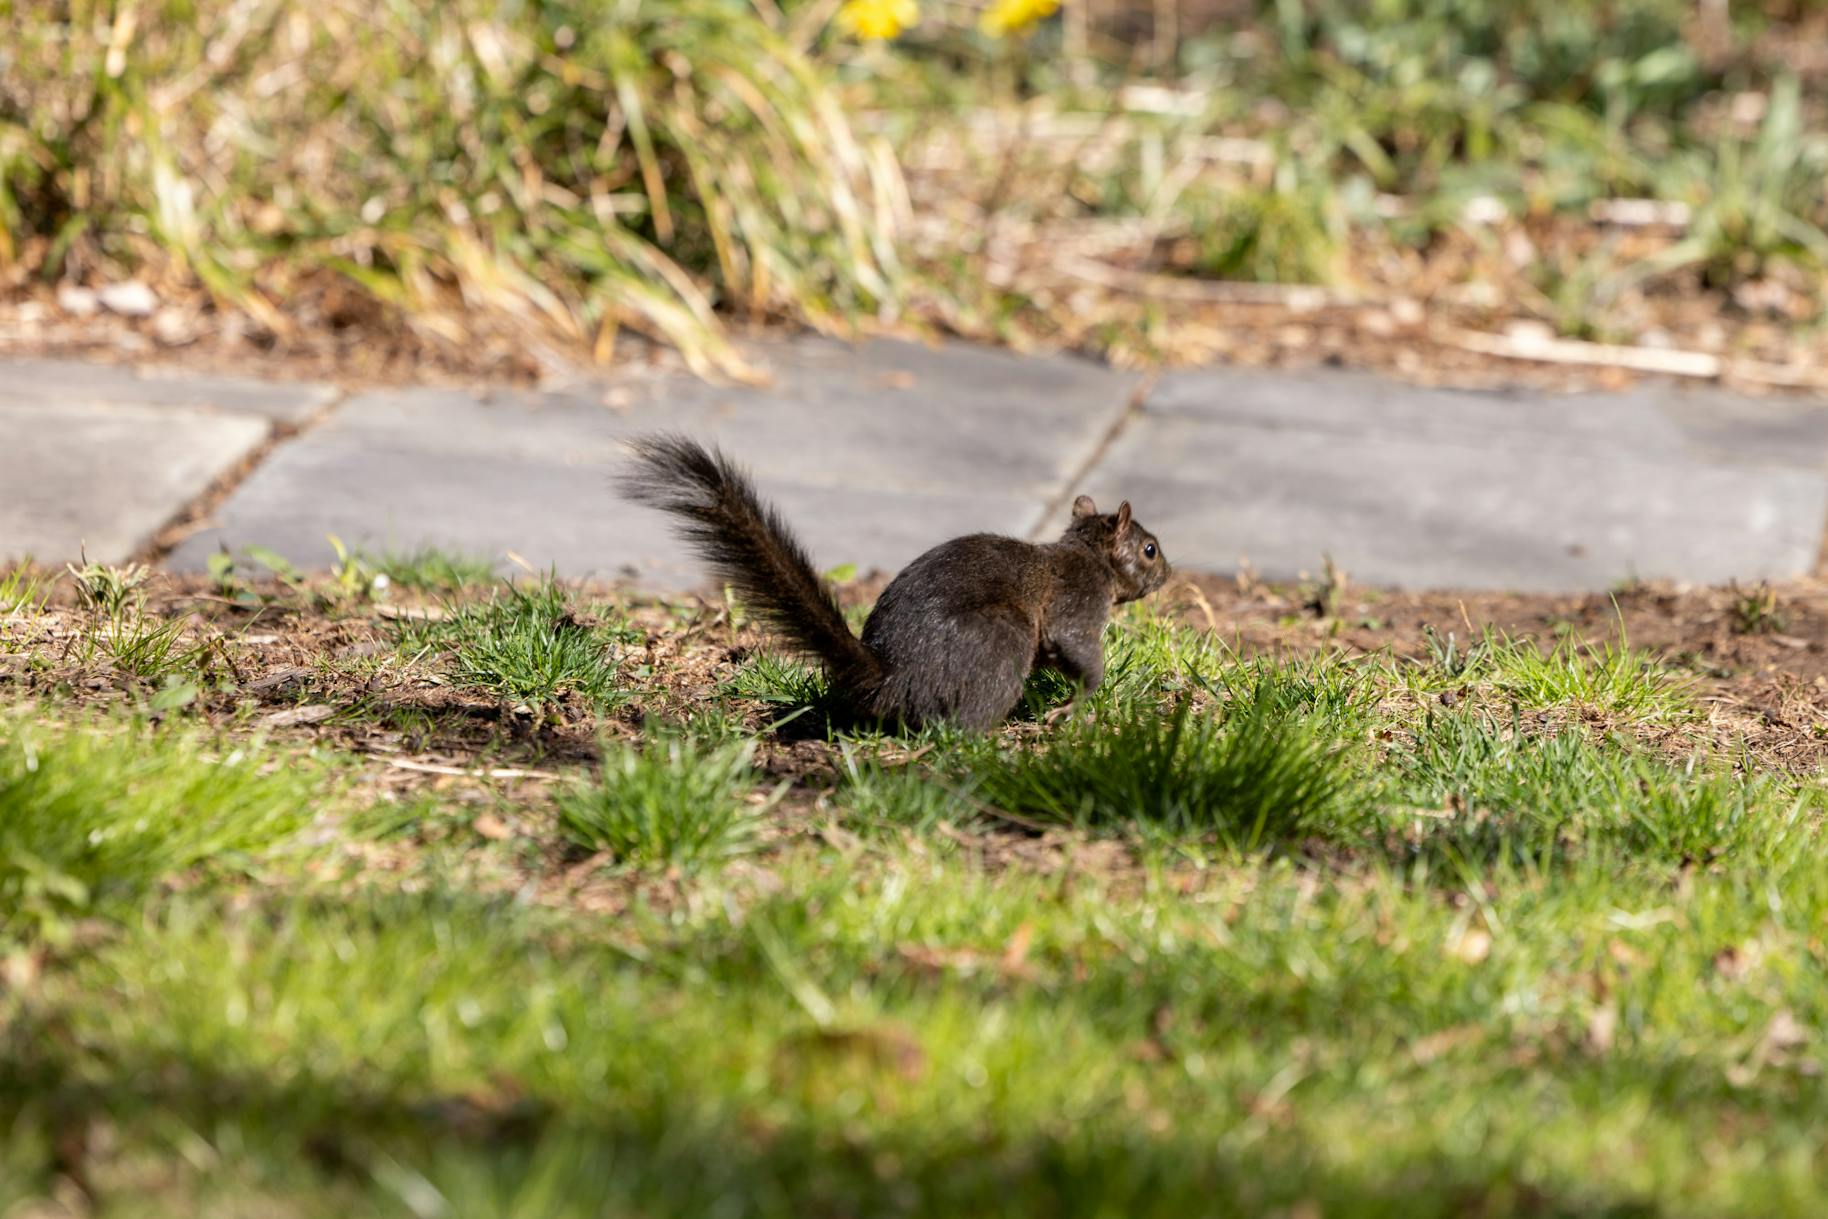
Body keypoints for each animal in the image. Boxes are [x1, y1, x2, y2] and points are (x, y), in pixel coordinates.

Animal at [619, 434, 1170, 730]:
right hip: (1000, 642)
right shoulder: (1078, 601)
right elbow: (1077, 648)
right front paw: (1077, 706)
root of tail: (890, 677)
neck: (1088, 554)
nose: (1168, 573)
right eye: (1149, 549)